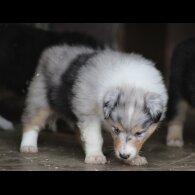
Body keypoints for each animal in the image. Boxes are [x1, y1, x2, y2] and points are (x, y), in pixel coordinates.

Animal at [20, 42, 168, 165]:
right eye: (116, 129)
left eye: (139, 133)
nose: (124, 156)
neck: (130, 83)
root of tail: (52, 50)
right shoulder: (88, 113)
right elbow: (94, 137)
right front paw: (95, 157)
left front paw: (133, 159)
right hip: (40, 99)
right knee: (31, 122)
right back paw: (28, 146)